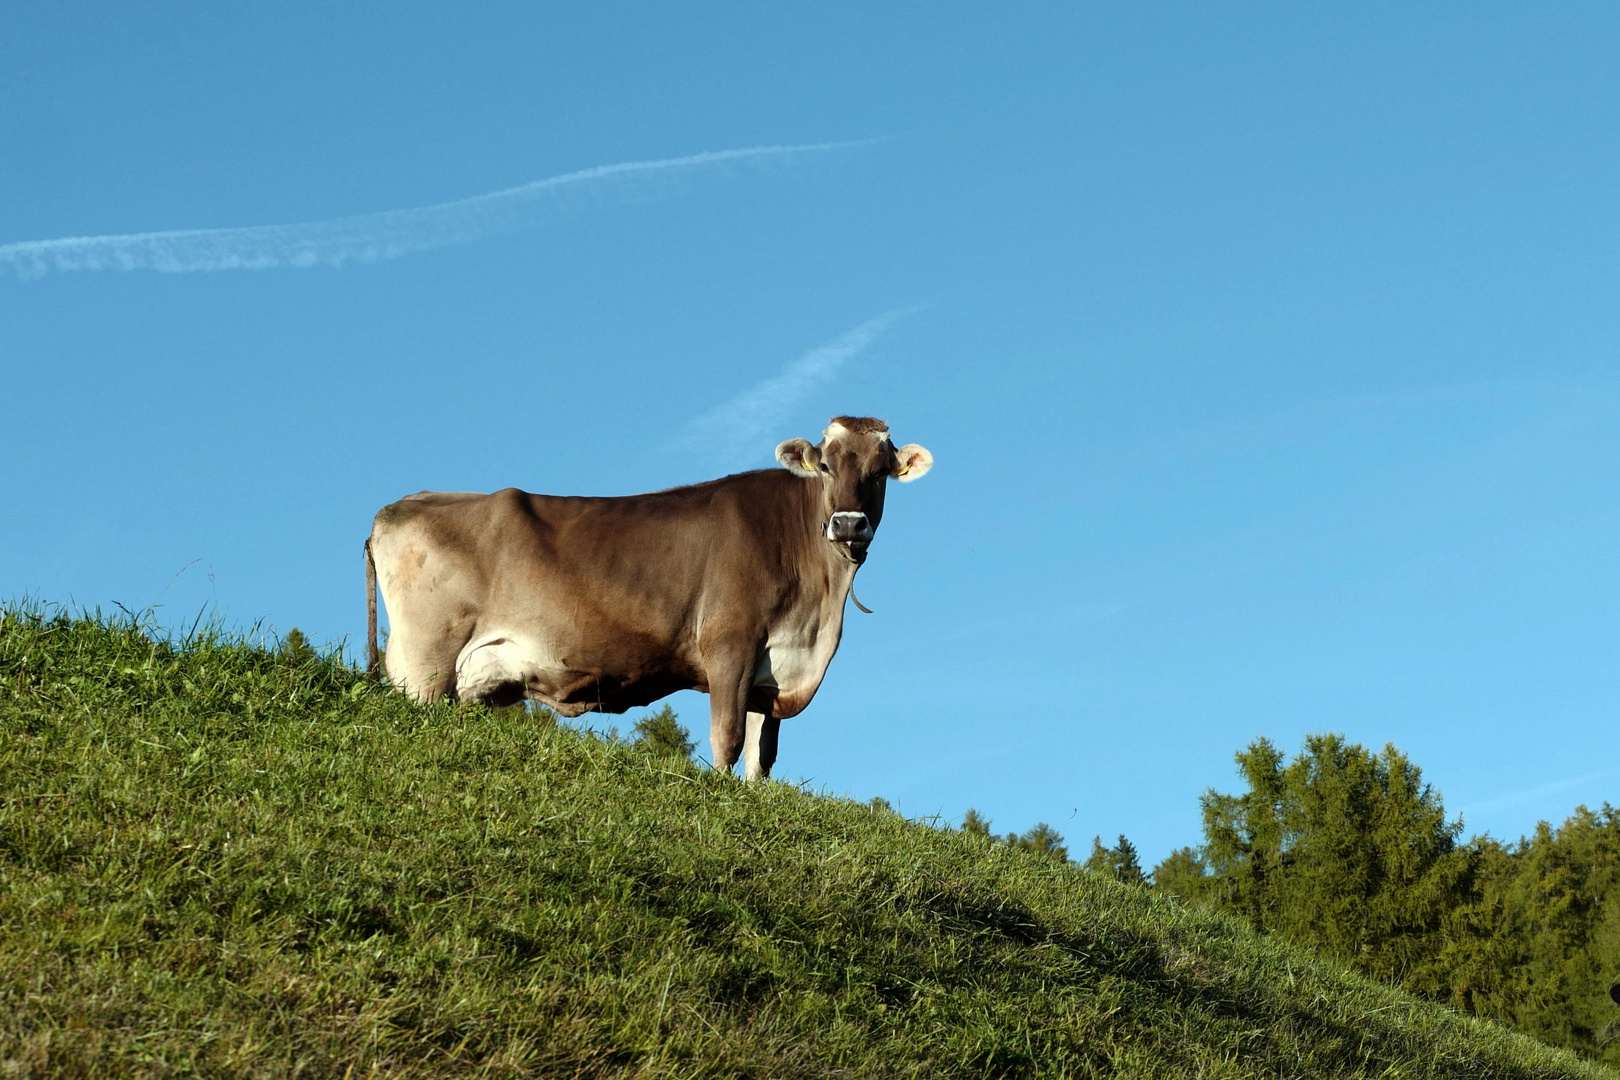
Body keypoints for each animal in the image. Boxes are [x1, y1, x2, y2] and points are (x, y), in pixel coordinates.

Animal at [361, 417, 933, 780]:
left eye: (879, 471)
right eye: (827, 466)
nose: (849, 524)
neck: (818, 616)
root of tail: (400, 504)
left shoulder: (772, 669)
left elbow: (762, 756)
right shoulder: (730, 645)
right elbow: (728, 738)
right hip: (425, 660)